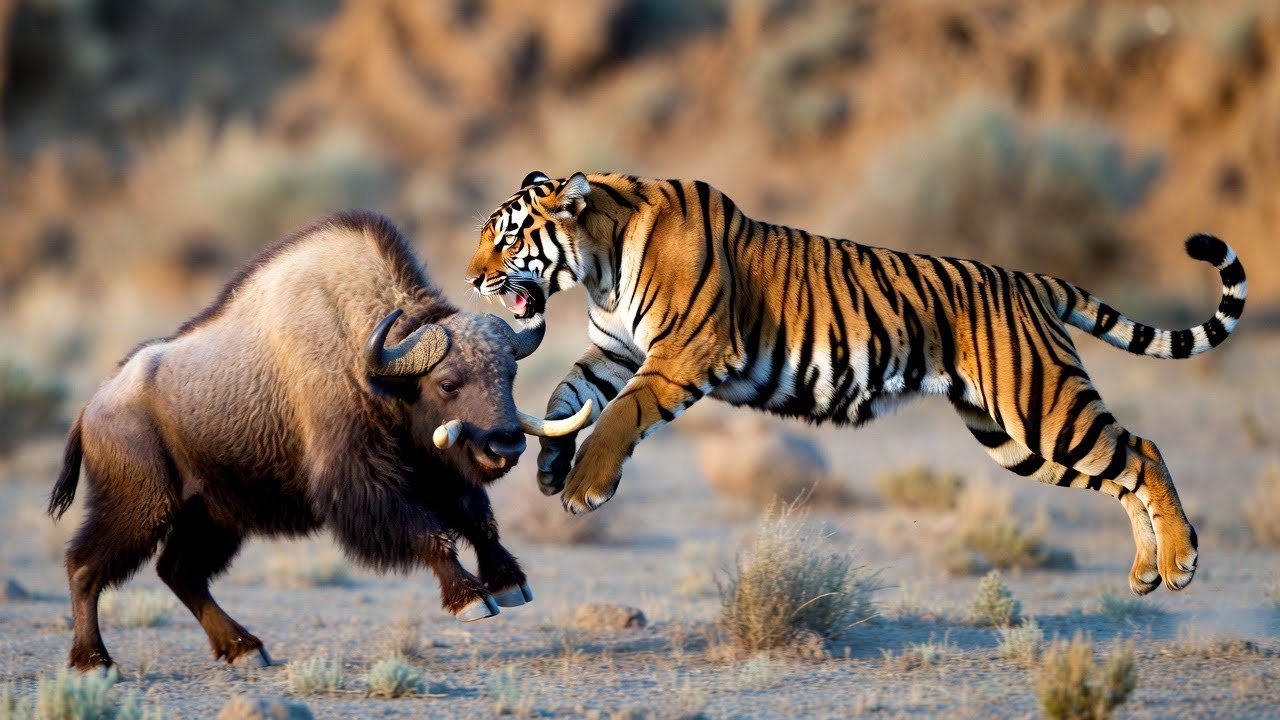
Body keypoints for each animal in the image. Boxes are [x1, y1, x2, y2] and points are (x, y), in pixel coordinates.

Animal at [465, 171, 1246, 595]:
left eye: (507, 239)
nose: (472, 277)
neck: (597, 264)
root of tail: (1028, 279)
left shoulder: (681, 354)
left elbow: (620, 417)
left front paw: (582, 486)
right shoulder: (615, 350)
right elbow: (567, 399)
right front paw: (550, 466)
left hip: (1041, 406)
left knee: (1142, 450)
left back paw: (1180, 561)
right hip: (1013, 438)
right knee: (1118, 475)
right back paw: (1146, 571)